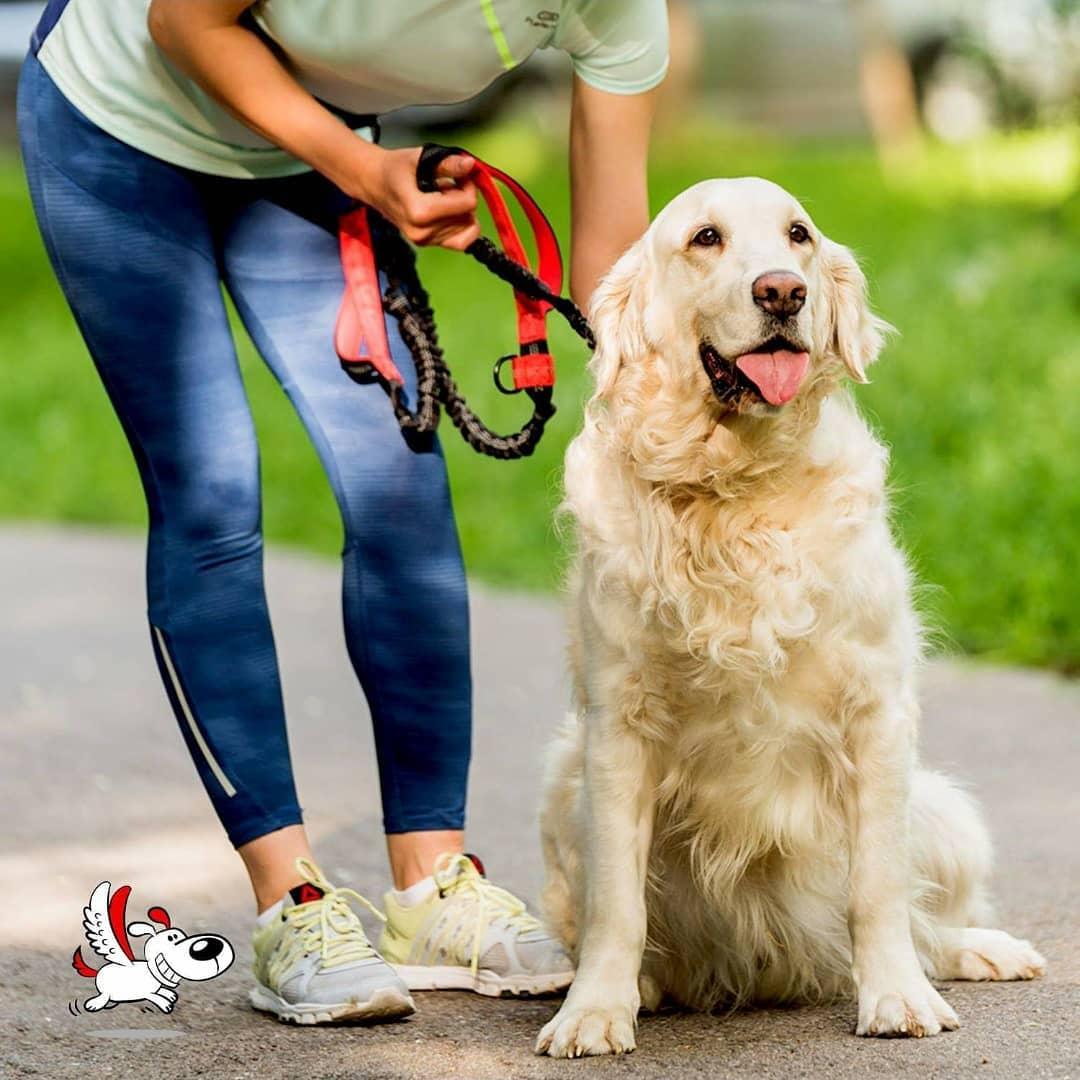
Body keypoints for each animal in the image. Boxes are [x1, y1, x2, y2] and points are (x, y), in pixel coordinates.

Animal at [535, 181, 1041, 1058]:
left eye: (798, 235)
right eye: (705, 238)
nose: (782, 291)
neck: (733, 493)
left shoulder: (875, 711)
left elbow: (879, 888)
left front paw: (896, 997)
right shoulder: (617, 728)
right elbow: (617, 905)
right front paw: (594, 1009)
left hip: (947, 814)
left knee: (931, 924)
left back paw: (982, 952)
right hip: (565, 782)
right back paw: (644, 986)